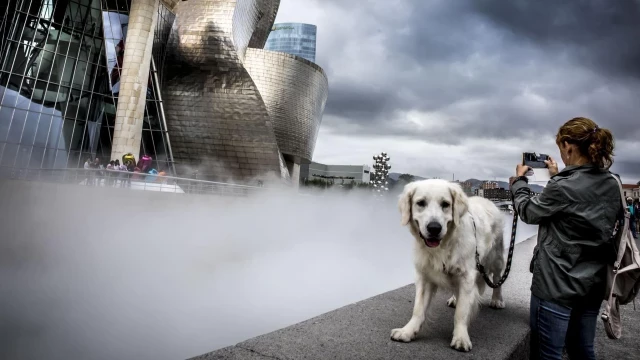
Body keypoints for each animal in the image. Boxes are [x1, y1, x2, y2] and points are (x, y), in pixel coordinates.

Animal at [390, 179, 504, 352]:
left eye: (445, 204)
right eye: (420, 203)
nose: (434, 228)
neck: (443, 246)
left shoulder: (466, 276)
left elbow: (461, 312)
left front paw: (461, 338)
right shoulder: (425, 276)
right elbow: (418, 308)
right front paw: (408, 331)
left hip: (496, 258)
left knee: (497, 279)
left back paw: (497, 300)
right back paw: (455, 298)